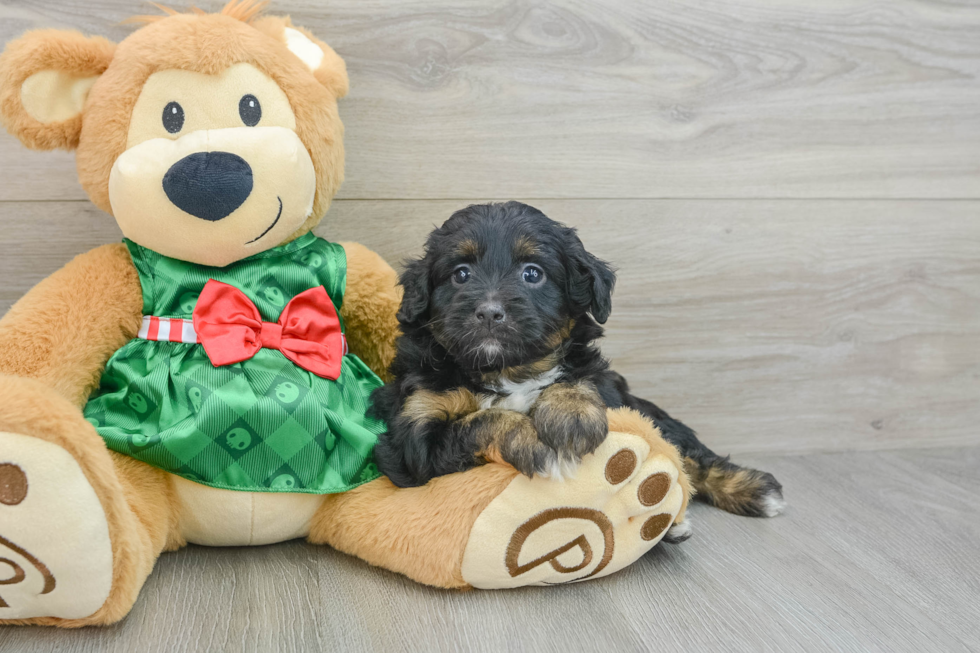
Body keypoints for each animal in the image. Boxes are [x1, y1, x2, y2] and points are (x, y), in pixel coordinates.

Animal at [372, 200, 784, 520]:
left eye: (532, 273)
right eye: (460, 274)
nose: (489, 312)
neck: (507, 369)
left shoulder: (605, 384)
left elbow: (575, 377)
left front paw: (571, 418)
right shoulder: (415, 437)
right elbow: (482, 420)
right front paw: (533, 441)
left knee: (689, 454)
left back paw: (754, 489)